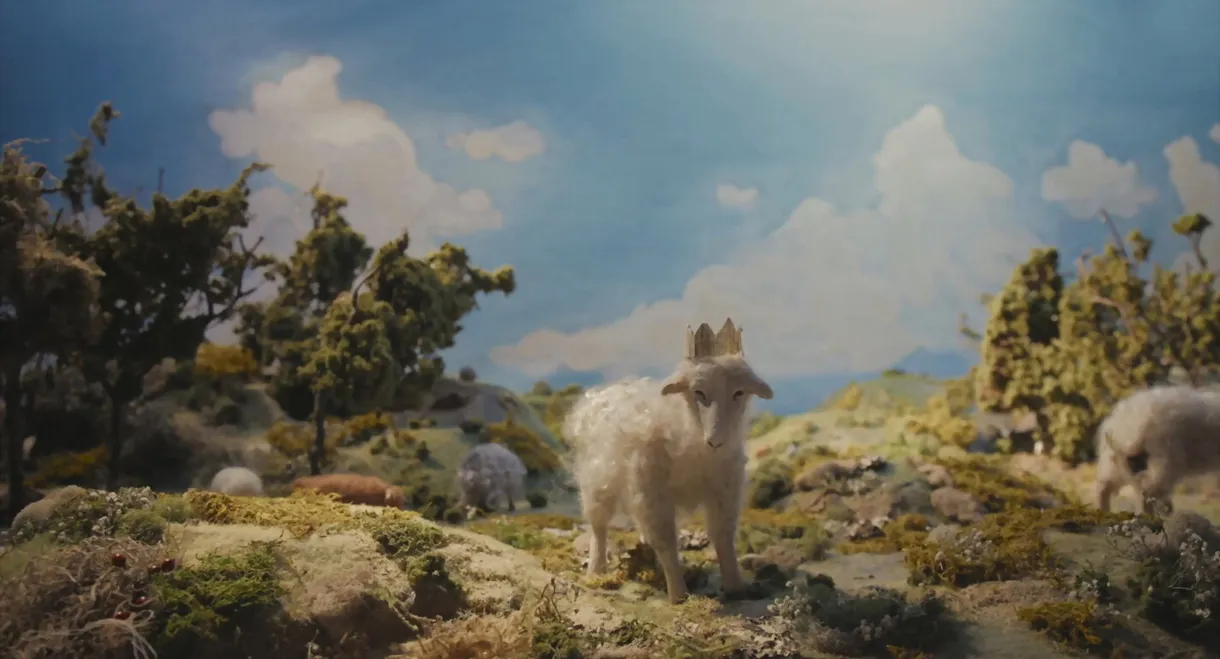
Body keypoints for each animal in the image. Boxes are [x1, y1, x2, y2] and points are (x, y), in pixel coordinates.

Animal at [565, 319, 773, 604]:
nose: (716, 441)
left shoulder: (725, 490)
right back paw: (597, 571)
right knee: (599, 525)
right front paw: (678, 594)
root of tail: (605, 393)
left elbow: (723, 534)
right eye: (698, 392)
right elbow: (665, 540)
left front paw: (735, 587)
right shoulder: (651, 493)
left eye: (739, 393)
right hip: (598, 481)